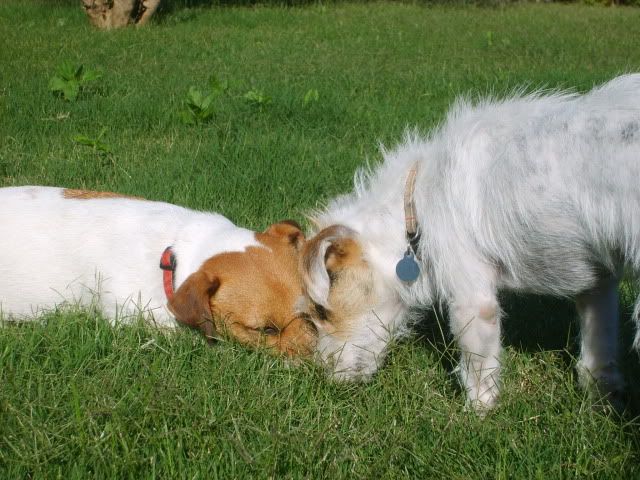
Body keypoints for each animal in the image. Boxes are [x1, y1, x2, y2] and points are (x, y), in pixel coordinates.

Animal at [300, 73, 640, 410]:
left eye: (321, 312)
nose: (323, 378)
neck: (415, 206)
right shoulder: (597, 283)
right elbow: (599, 345)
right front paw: (601, 398)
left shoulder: (472, 297)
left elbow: (477, 362)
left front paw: (479, 411)